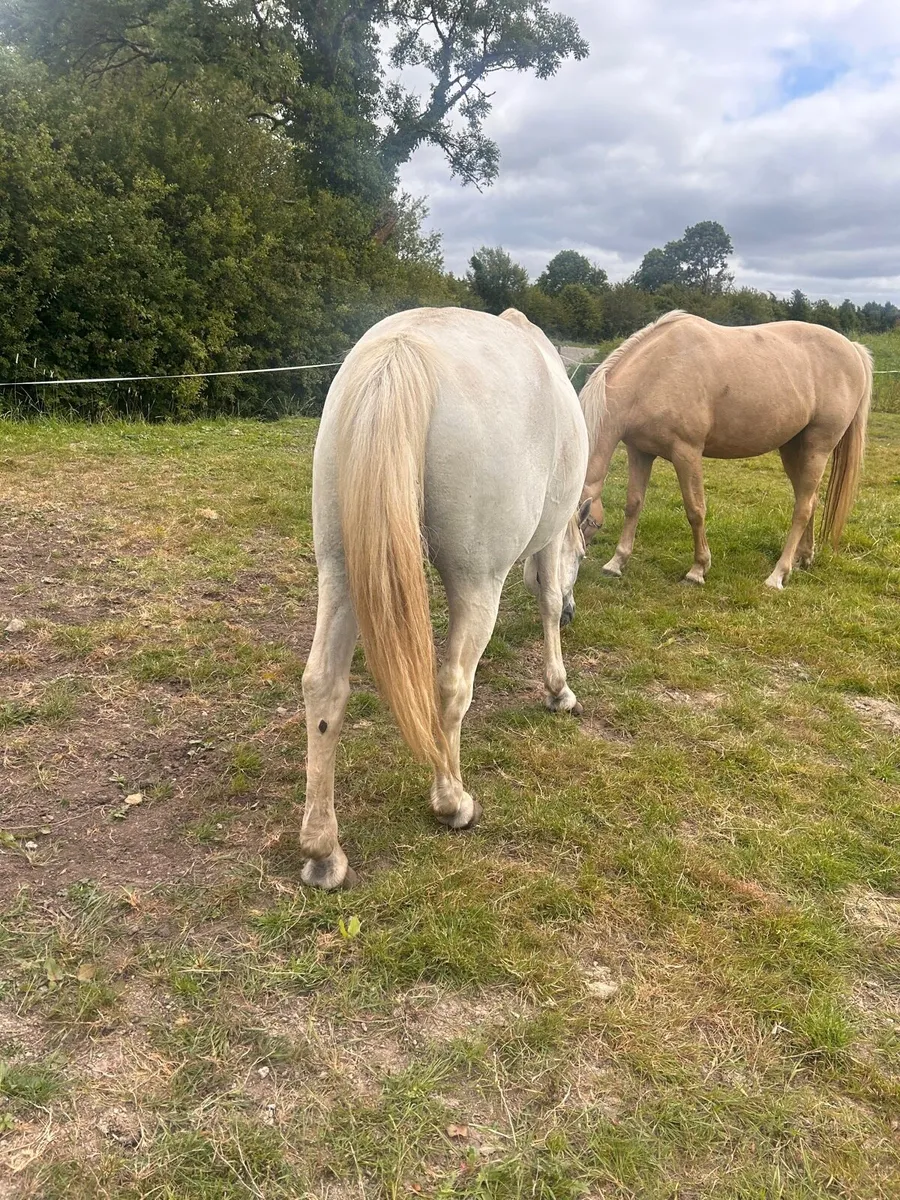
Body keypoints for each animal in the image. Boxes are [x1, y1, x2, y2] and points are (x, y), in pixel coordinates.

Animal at [299, 306, 591, 889]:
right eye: (584, 553)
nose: (577, 615)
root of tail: (402, 352)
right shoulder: (548, 541)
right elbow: (546, 599)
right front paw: (558, 690)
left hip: (340, 571)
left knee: (324, 687)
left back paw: (324, 853)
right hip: (477, 583)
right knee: (452, 683)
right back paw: (453, 802)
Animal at [579, 312, 873, 589]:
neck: (655, 374)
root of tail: (853, 348)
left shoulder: (687, 453)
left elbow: (695, 510)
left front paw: (698, 570)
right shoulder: (639, 451)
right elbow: (633, 504)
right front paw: (616, 563)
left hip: (817, 448)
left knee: (802, 508)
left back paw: (777, 575)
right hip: (793, 449)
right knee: (810, 500)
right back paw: (803, 559)